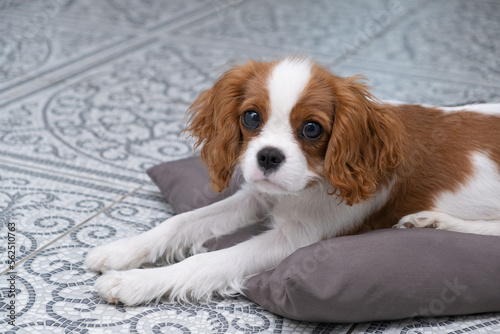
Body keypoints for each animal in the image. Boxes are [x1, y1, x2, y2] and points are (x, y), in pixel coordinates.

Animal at [86, 56, 500, 304]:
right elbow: (181, 222)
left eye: (312, 128)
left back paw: (433, 221)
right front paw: (121, 251)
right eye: (251, 117)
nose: (269, 156)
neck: (312, 182)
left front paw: (133, 283)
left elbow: (206, 262)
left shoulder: (296, 240)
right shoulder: (260, 195)